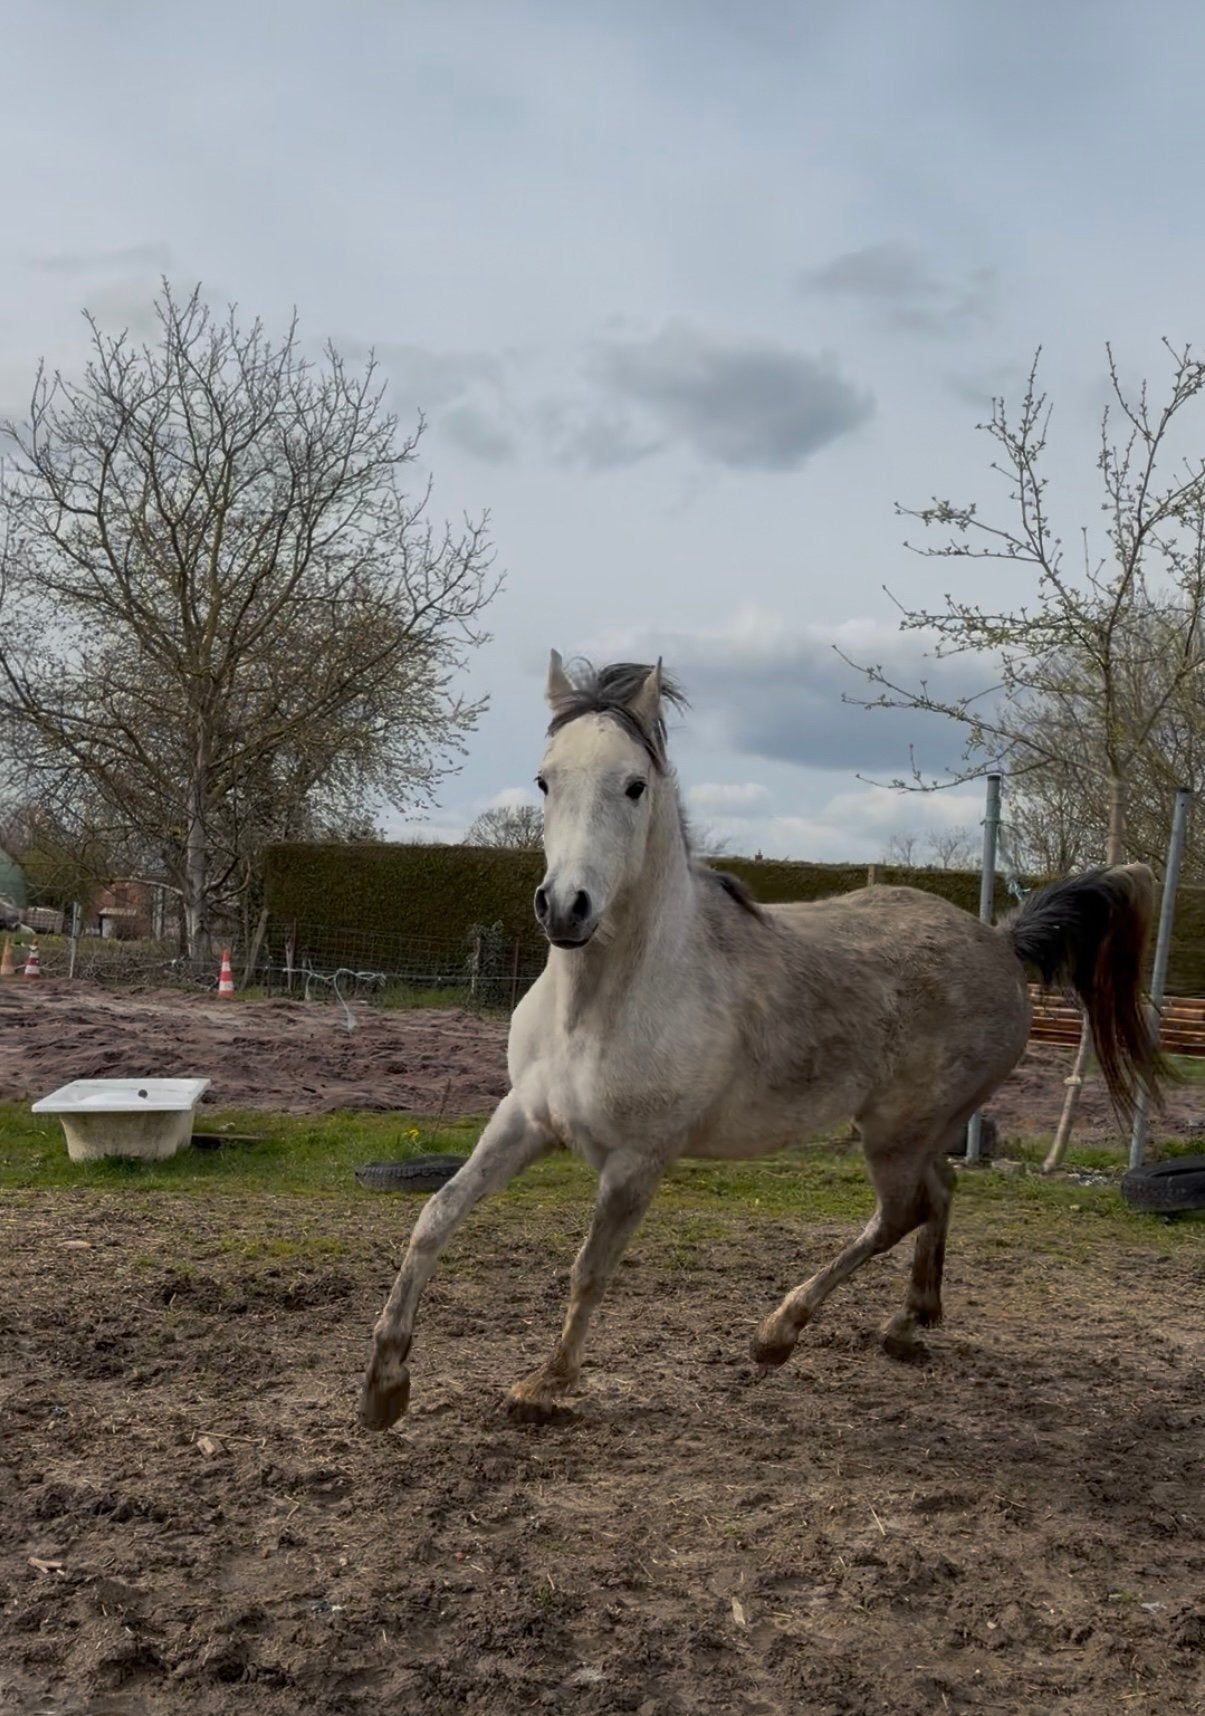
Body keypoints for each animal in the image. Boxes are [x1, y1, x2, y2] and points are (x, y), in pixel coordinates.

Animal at [360, 654, 1162, 1430]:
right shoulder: (523, 1120)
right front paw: (383, 1387)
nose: (565, 908)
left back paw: (778, 1333)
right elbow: (434, 1217)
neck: (601, 1007)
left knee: (900, 1213)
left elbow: (589, 1269)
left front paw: (542, 1387)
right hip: (918, 1131)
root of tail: (1001, 941)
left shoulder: (636, 1161)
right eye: (544, 778)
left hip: (896, 1132)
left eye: (634, 785)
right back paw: (907, 1326)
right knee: (940, 1193)